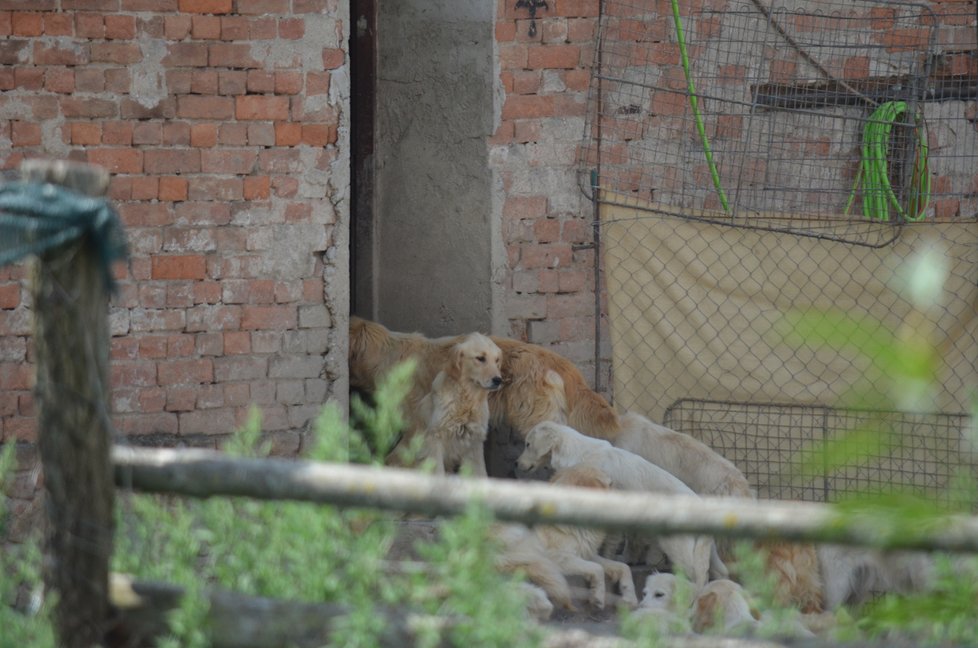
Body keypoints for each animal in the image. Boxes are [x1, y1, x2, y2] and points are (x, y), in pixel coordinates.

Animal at [386, 334, 500, 476]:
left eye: (497, 360)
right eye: (480, 358)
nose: (498, 380)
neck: (466, 400)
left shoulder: (474, 444)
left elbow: (480, 473)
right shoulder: (434, 441)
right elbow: (439, 473)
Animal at [520, 420, 724, 588]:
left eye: (528, 444)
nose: (516, 463)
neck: (578, 452)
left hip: (679, 548)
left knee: (696, 578)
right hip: (706, 551)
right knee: (718, 571)